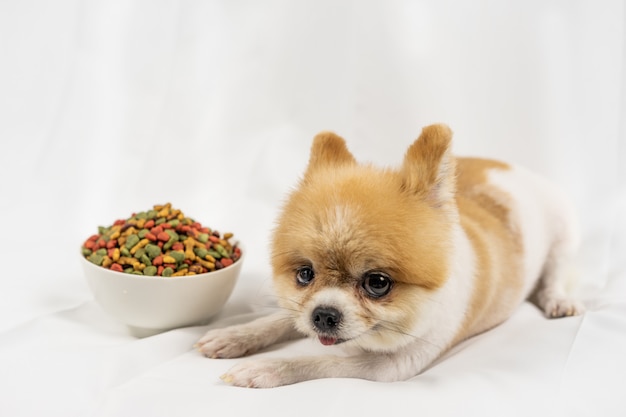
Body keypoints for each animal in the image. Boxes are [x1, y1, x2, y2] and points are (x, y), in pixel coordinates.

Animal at [193, 123, 584, 386]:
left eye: (378, 283)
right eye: (305, 275)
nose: (324, 315)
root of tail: (512, 167)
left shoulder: (391, 367)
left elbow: (319, 360)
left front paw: (265, 368)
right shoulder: (303, 312)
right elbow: (281, 319)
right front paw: (235, 336)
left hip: (563, 240)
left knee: (554, 278)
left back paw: (557, 300)